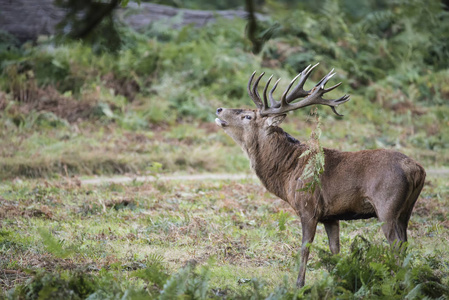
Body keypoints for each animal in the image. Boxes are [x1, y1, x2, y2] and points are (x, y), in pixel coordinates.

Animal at [215, 63, 426, 288]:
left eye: (247, 116)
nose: (219, 109)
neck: (289, 173)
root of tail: (417, 170)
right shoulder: (330, 216)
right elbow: (335, 251)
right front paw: (340, 281)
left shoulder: (309, 207)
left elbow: (305, 248)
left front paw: (299, 284)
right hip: (406, 210)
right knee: (405, 245)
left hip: (387, 206)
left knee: (396, 246)